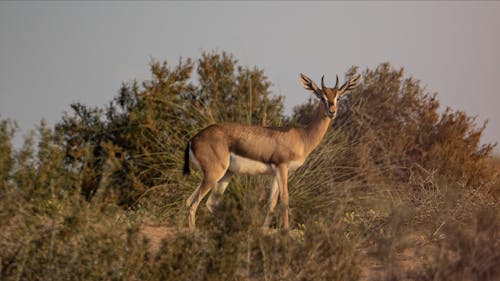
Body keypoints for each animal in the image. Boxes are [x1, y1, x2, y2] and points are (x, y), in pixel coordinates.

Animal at [182, 72, 362, 230]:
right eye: (322, 96)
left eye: (338, 96)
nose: (332, 111)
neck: (302, 137)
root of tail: (193, 139)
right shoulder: (282, 167)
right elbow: (285, 200)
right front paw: (286, 231)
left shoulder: (275, 173)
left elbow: (271, 204)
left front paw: (263, 230)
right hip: (213, 175)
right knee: (192, 202)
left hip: (226, 174)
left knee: (207, 203)